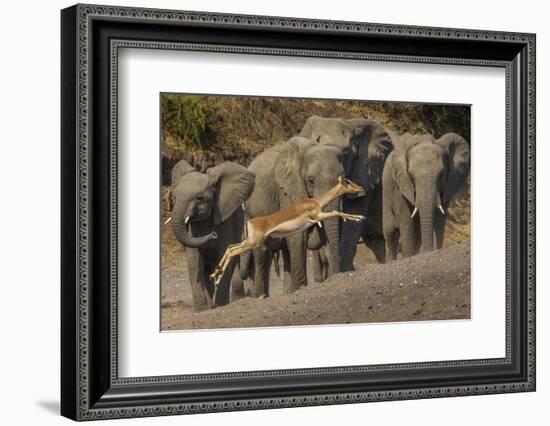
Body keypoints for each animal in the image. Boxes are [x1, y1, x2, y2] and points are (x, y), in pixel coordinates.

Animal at [170, 158, 256, 312]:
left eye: (199, 198)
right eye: (174, 196)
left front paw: (221, 305)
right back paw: (210, 306)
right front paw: (202, 310)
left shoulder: (225, 219)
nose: (213, 234)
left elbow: (225, 256)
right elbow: (193, 261)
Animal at [245, 136, 344, 296]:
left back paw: (287, 292)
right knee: (261, 253)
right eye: (310, 181)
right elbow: (298, 236)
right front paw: (301, 288)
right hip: (251, 212)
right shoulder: (287, 191)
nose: (337, 274)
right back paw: (259, 296)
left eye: (344, 178)